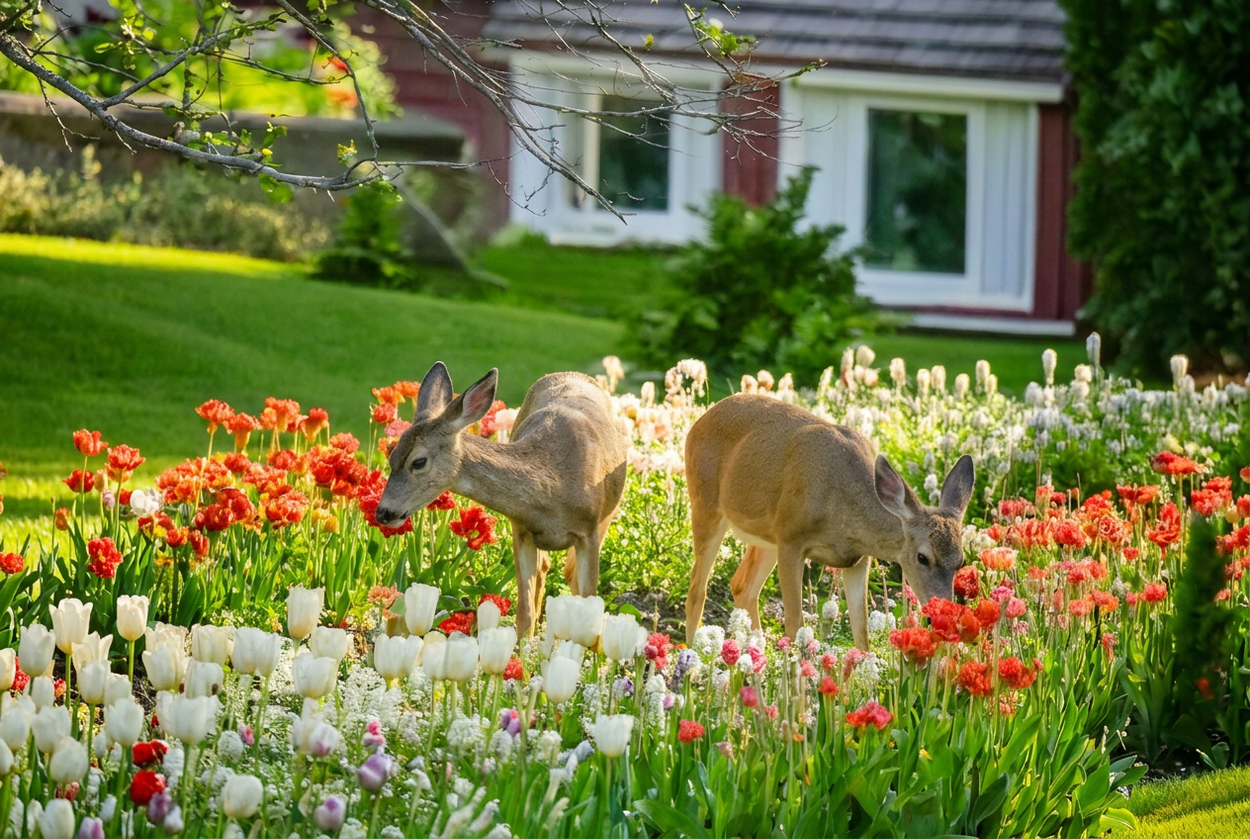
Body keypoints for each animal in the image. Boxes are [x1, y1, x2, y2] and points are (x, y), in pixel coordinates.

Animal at [375, 362, 628, 638]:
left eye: (418, 461)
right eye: (392, 457)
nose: (383, 513)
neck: (554, 486)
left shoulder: (589, 532)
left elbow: (590, 603)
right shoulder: (520, 530)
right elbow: (524, 613)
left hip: (606, 517)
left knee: (570, 576)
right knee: (546, 569)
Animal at [683, 394, 974, 650]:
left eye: (960, 561)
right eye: (922, 557)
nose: (943, 618)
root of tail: (699, 420)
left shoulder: (859, 558)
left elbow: (861, 630)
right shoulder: (791, 538)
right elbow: (794, 624)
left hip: (766, 535)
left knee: (742, 586)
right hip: (706, 504)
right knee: (697, 588)